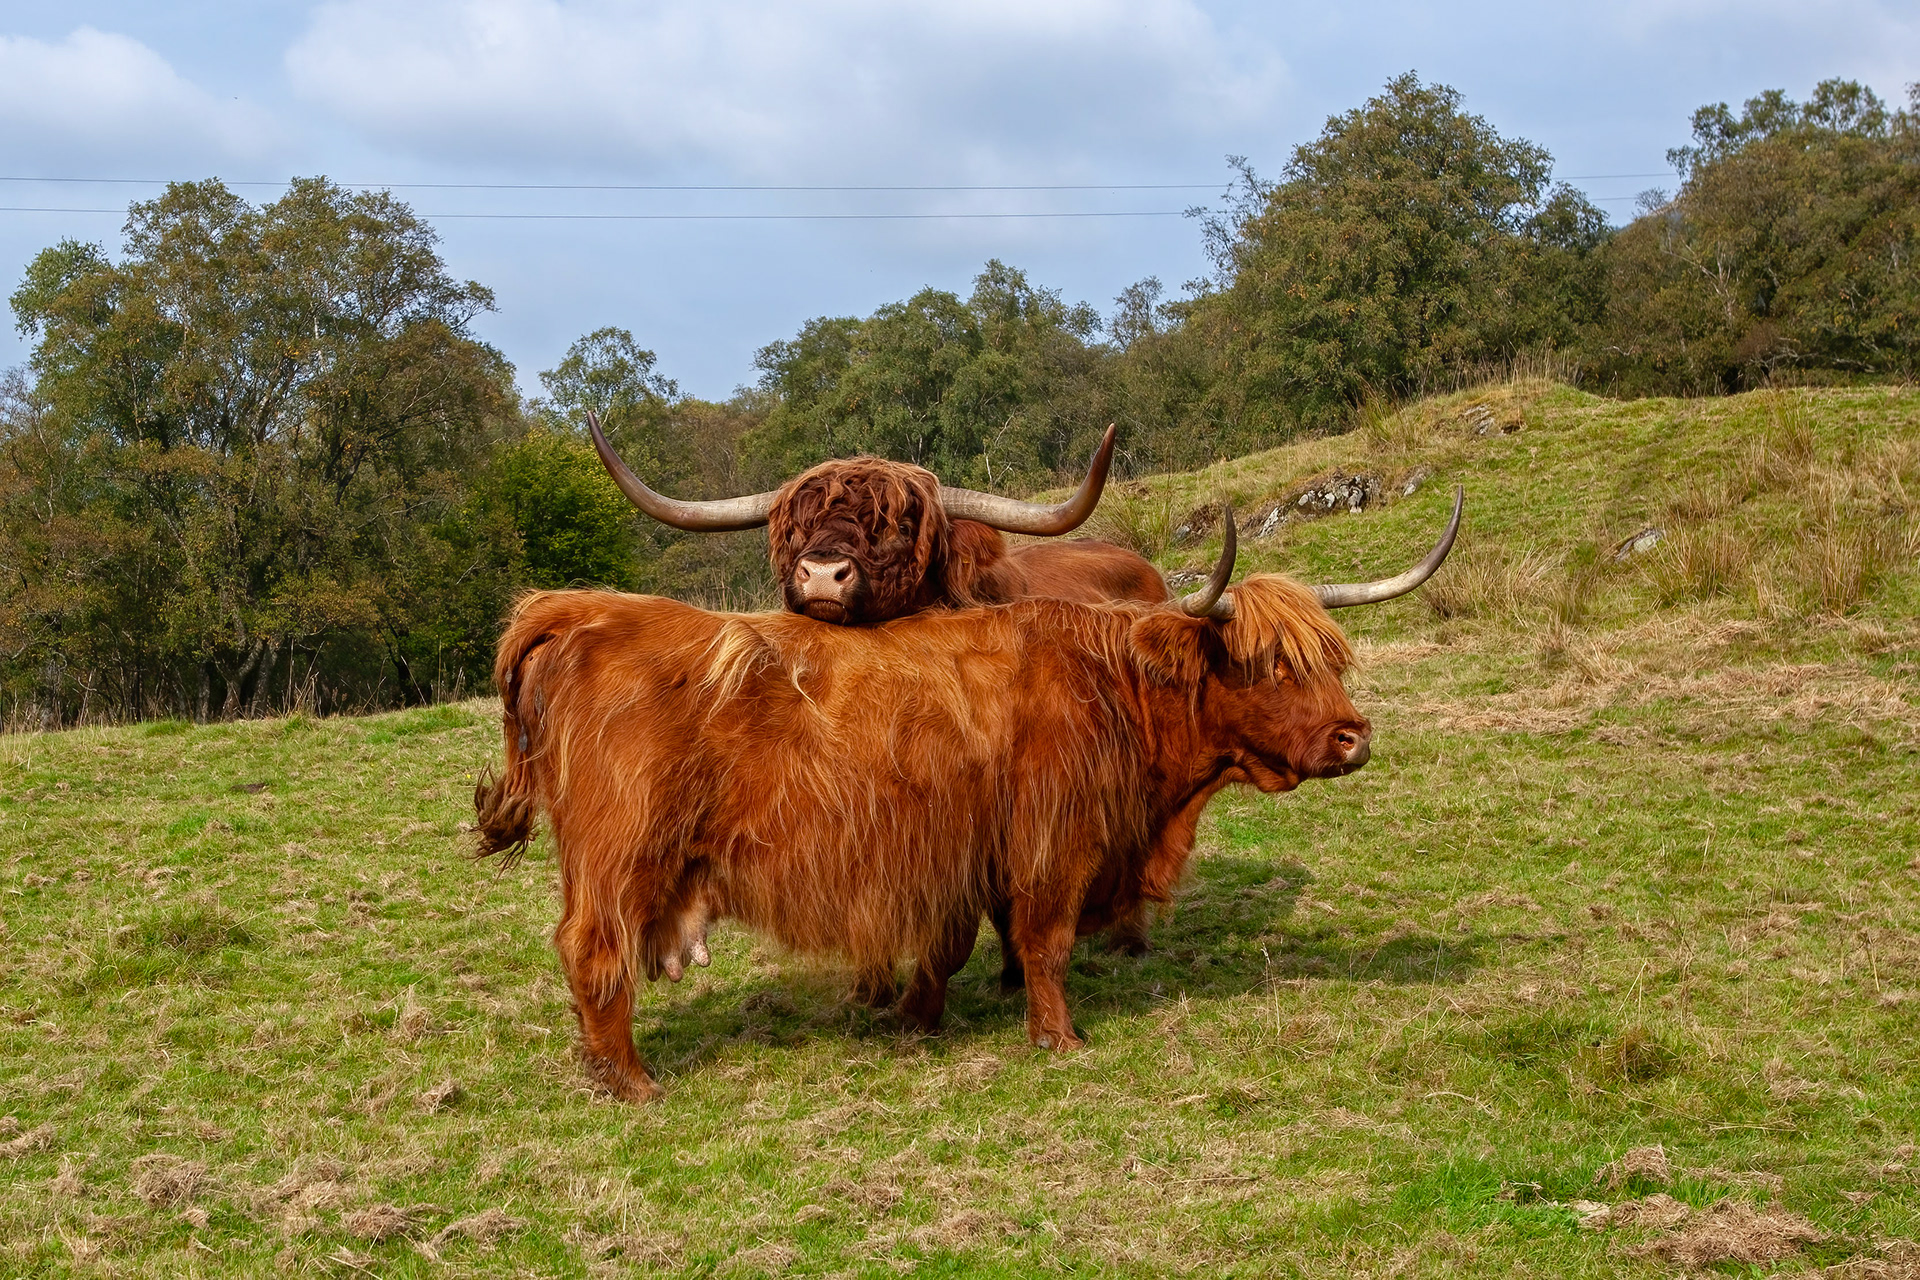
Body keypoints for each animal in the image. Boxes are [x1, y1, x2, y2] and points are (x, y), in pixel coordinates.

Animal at [472, 494, 1461, 1101]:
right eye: (1266, 662)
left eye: (1331, 657)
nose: (1353, 736)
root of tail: (578, 610)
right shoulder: (1054, 844)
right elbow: (1046, 943)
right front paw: (1057, 1039)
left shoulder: (969, 848)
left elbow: (958, 945)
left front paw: (921, 1018)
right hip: (620, 855)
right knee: (594, 952)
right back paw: (631, 1082)